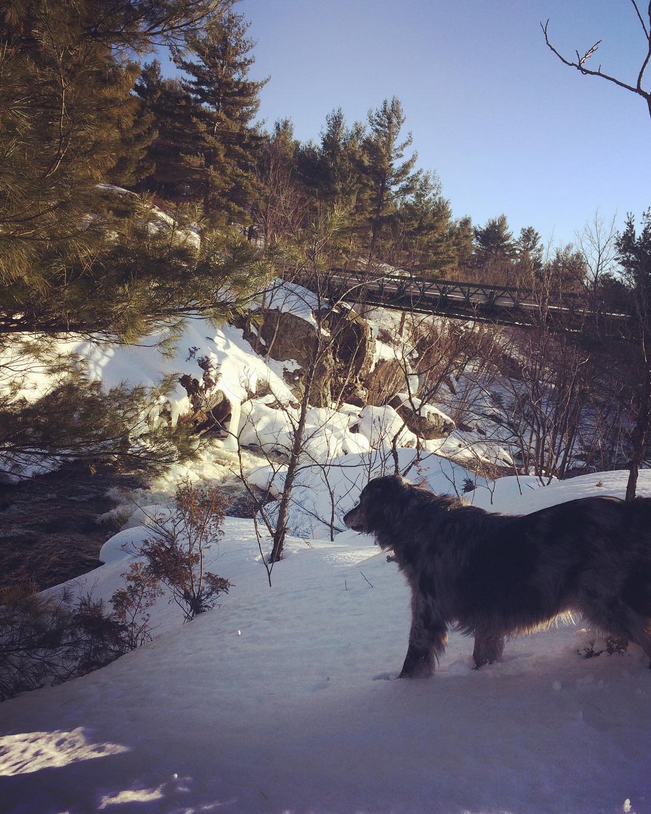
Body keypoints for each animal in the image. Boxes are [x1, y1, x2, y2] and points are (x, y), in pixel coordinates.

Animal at [344, 474, 651, 680]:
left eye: (361, 500)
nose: (346, 517)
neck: (421, 525)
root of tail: (631, 509)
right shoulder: (488, 622)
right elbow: (483, 656)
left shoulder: (427, 610)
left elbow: (413, 658)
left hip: (605, 604)